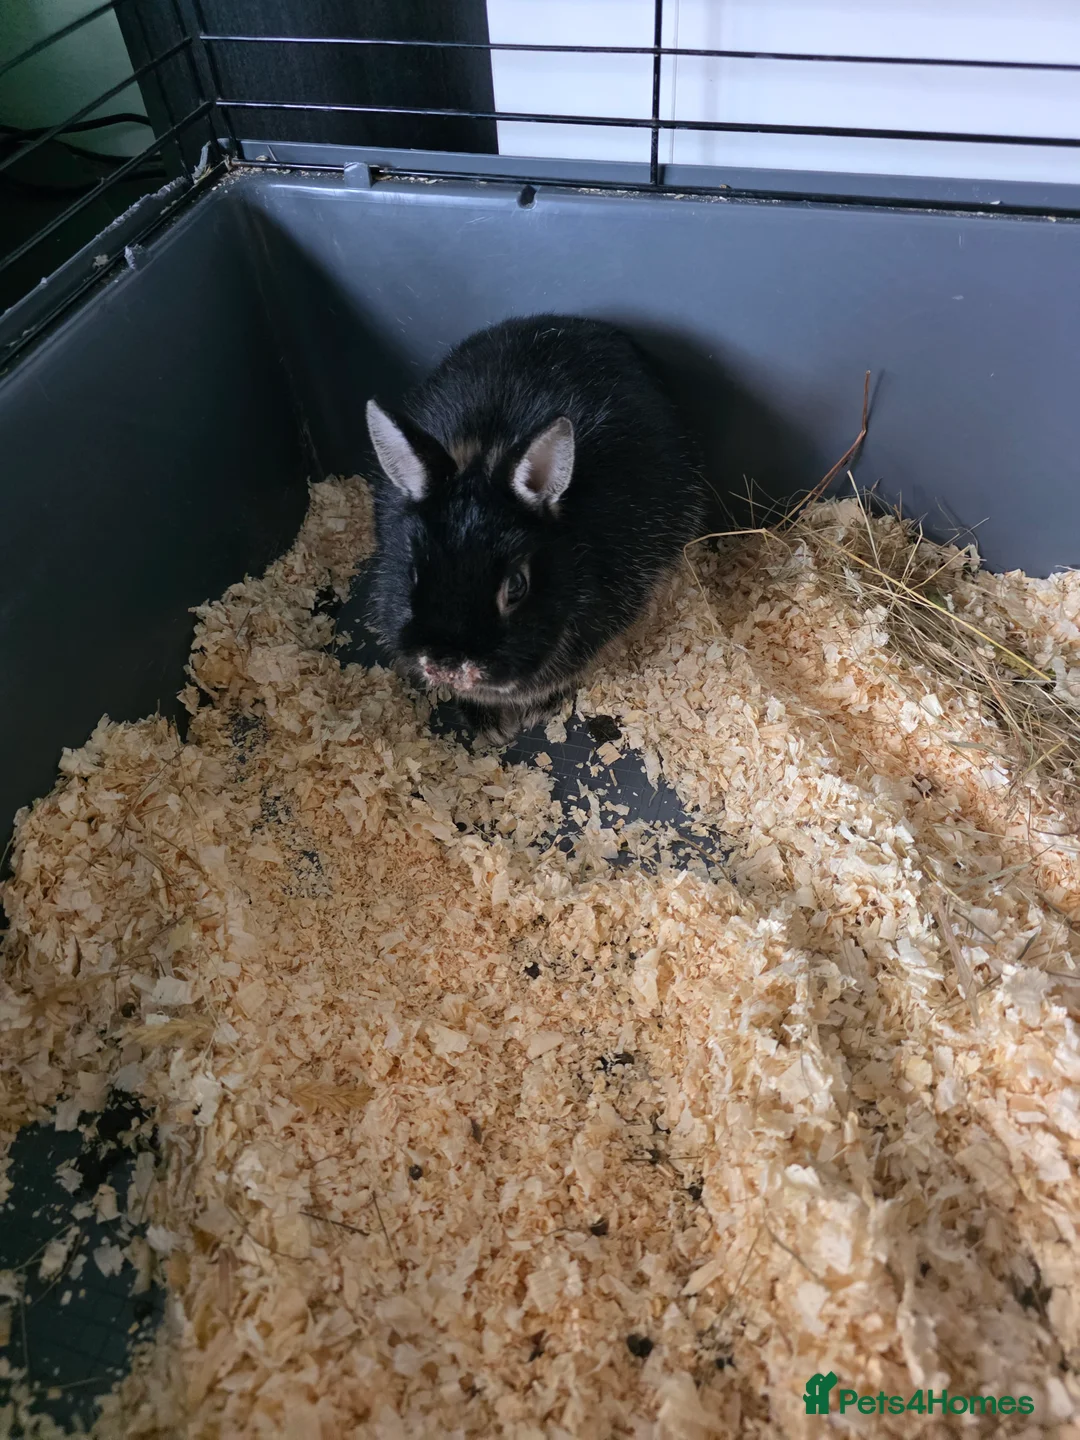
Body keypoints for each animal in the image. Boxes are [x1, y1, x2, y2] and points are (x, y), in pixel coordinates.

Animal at [364, 313, 709, 743]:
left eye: (516, 586)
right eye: (412, 572)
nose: (447, 666)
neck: (486, 451)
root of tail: (577, 323)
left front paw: (532, 712)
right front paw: (488, 723)